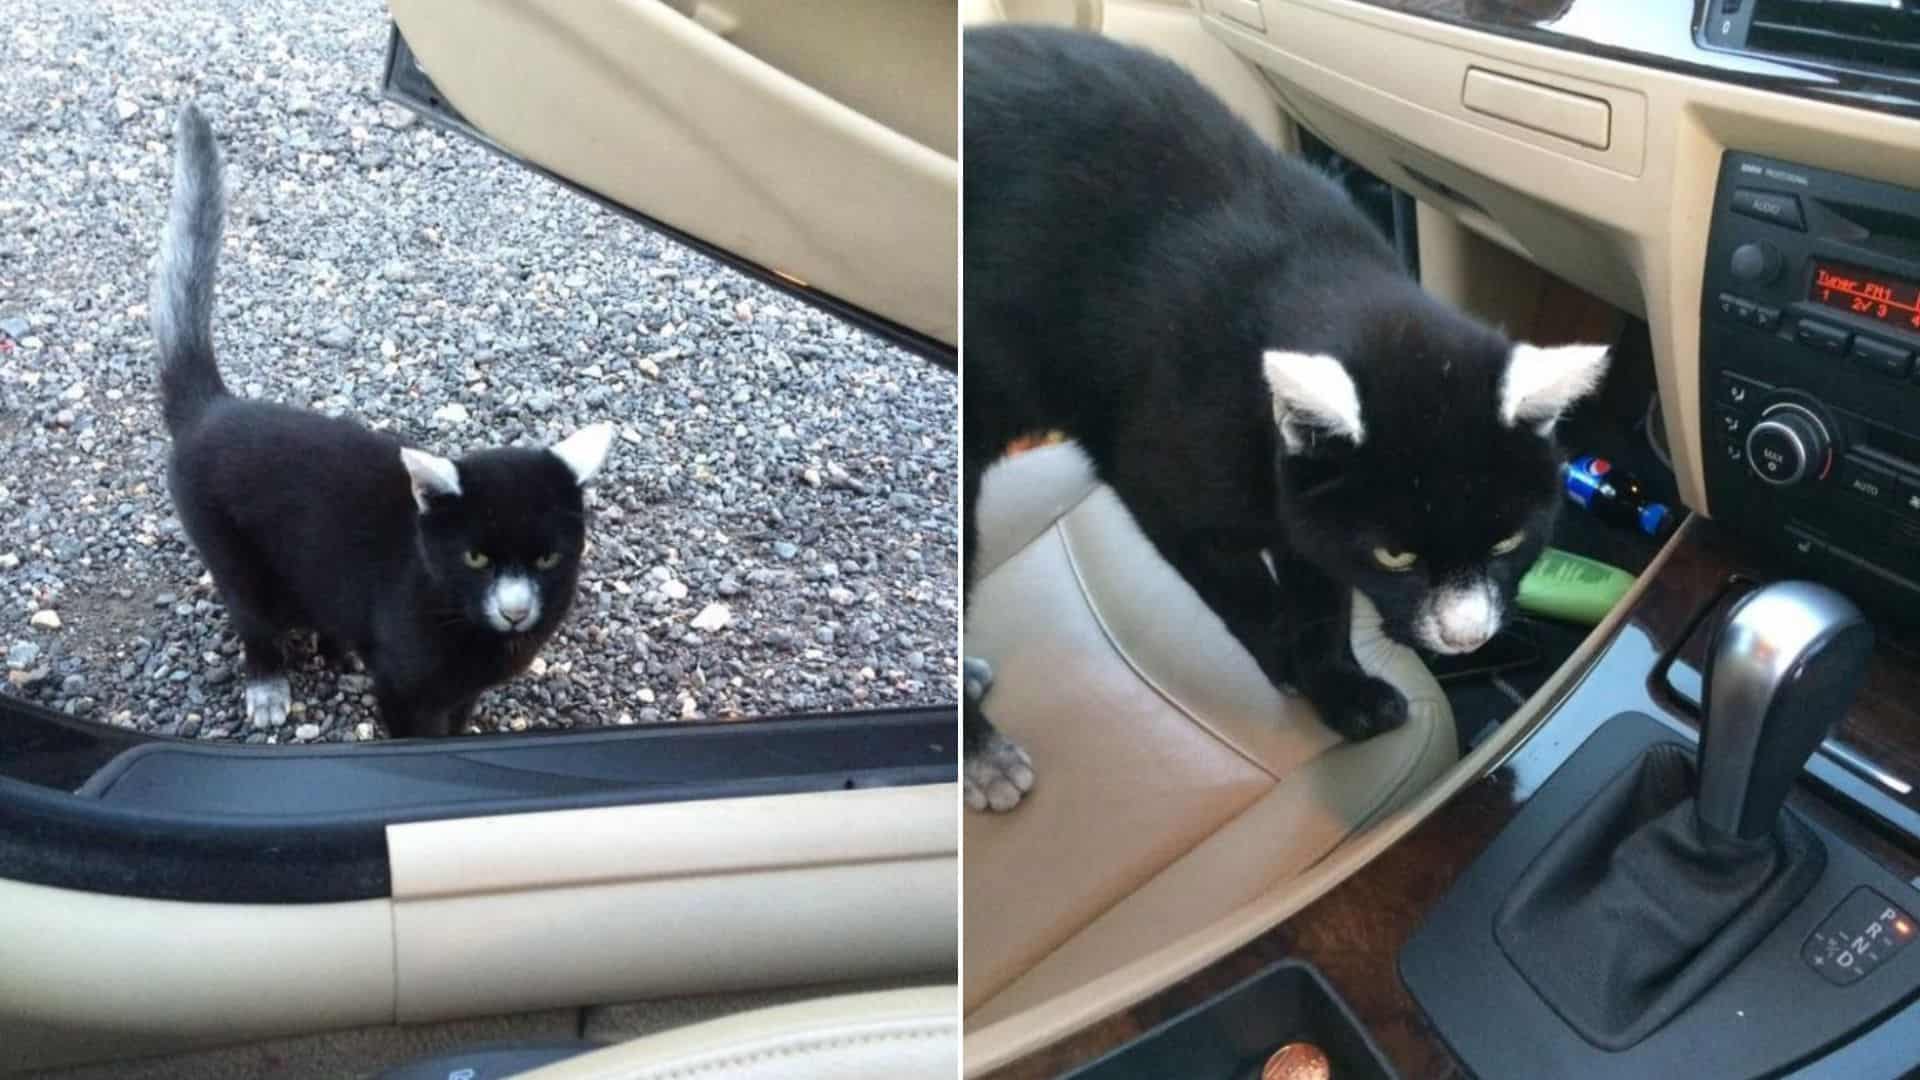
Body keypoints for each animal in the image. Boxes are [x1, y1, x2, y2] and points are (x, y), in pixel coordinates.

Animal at [153, 105, 610, 734]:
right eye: (476, 557)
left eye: (547, 557)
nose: (517, 611)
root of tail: (213, 406)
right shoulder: (402, 689)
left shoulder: (463, 691)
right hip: (234, 558)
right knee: (254, 621)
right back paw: (268, 685)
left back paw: (338, 651)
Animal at [960, 27, 1605, 807]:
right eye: (1397, 557)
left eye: (1510, 540)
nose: (1466, 638)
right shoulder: (1159, 487)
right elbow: (1248, 596)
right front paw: (1291, 666)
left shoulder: (1303, 506)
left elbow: (1322, 595)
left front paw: (1342, 690)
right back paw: (980, 751)